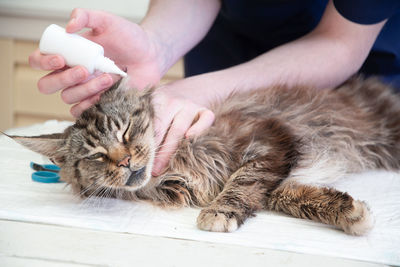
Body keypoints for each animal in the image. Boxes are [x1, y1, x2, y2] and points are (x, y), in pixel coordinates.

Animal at [9, 77, 400, 237]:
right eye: (96, 156)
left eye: (125, 132)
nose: (124, 162)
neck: (173, 169)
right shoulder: (276, 177)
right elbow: (291, 197)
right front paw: (351, 213)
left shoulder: (265, 139)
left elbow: (242, 181)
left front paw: (219, 213)